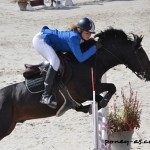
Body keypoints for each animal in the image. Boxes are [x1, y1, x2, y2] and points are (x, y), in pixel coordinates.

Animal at [0, 27, 150, 141]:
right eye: (141, 54)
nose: (148, 75)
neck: (88, 63)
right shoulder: (87, 91)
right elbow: (112, 87)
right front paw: (98, 104)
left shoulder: (90, 92)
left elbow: (103, 95)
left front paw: (90, 107)